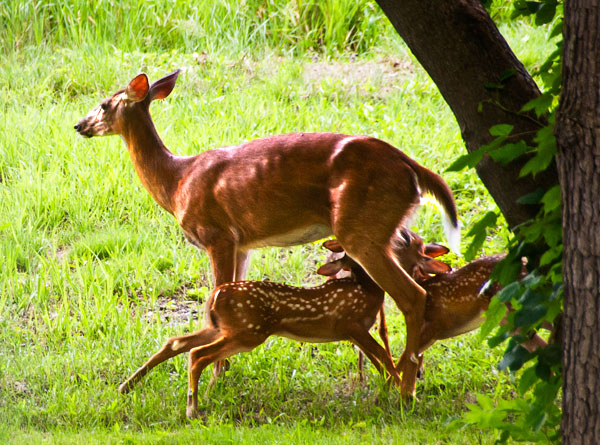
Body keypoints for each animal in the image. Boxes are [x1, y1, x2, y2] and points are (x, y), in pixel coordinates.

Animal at [75, 69, 460, 396]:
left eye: (105, 104)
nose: (79, 125)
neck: (177, 182)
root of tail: (413, 168)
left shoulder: (217, 234)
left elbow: (216, 294)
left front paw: (215, 377)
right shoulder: (243, 243)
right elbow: (226, 294)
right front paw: (223, 369)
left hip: (359, 227)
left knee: (412, 296)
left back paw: (405, 388)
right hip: (387, 228)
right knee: (416, 278)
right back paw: (411, 375)